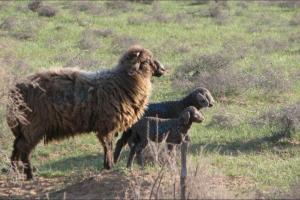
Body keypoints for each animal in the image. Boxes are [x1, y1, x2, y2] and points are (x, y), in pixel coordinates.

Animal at [7, 45, 165, 180]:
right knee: (24, 150)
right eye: (147, 60)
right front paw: (110, 166)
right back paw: (29, 175)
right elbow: (108, 146)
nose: (163, 69)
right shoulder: (107, 125)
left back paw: (15, 172)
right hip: (32, 126)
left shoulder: (105, 127)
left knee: (16, 148)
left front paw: (107, 166)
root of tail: (14, 91)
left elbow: (107, 146)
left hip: (23, 129)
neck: (123, 82)